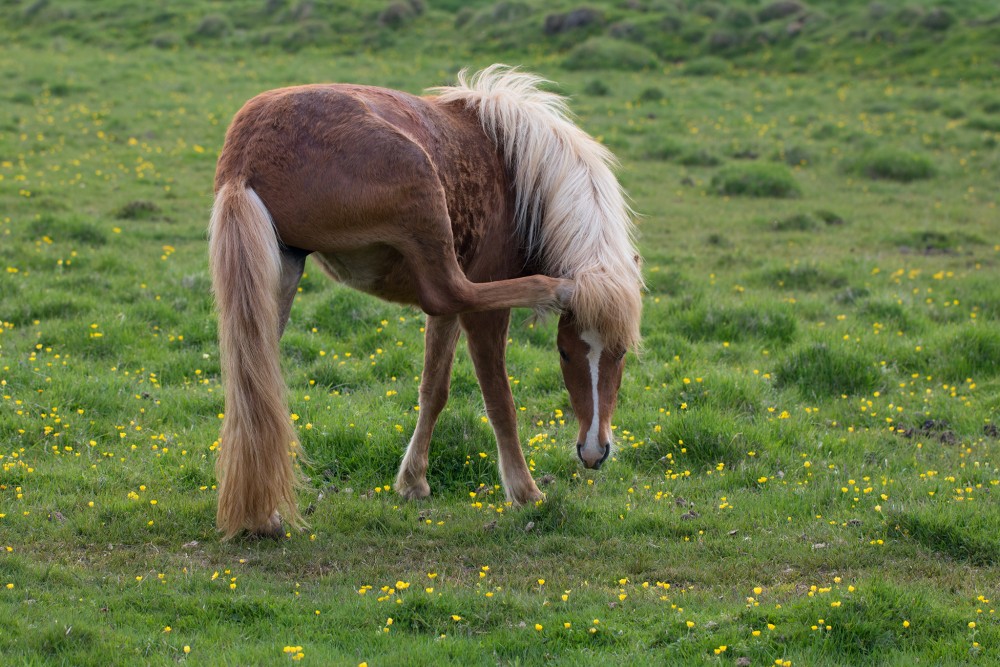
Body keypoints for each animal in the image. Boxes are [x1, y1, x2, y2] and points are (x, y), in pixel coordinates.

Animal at [210, 65, 644, 540]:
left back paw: (264, 514)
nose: (594, 452)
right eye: (564, 353)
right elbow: (500, 400)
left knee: (256, 380)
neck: (521, 176)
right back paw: (557, 287)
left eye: (622, 353)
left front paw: (413, 481)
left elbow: (433, 389)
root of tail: (247, 154)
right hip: (422, 195)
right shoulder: (484, 314)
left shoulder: (450, 323)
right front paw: (525, 492)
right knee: (448, 290)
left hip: (282, 270)